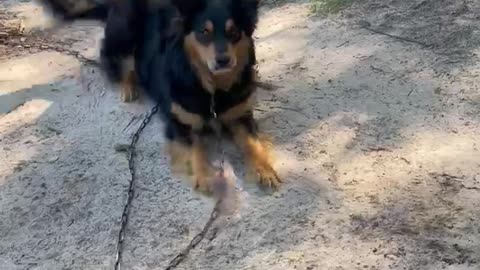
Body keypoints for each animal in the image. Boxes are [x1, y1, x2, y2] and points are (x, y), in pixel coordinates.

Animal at [42, 0, 282, 191]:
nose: (223, 60)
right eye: (204, 32)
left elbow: (253, 144)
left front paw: (264, 169)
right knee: (117, 61)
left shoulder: (240, 116)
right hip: (125, 30)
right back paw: (128, 87)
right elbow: (195, 149)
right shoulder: (178, 123)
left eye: (233, 31)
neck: (211, 88)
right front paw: (205, 176)